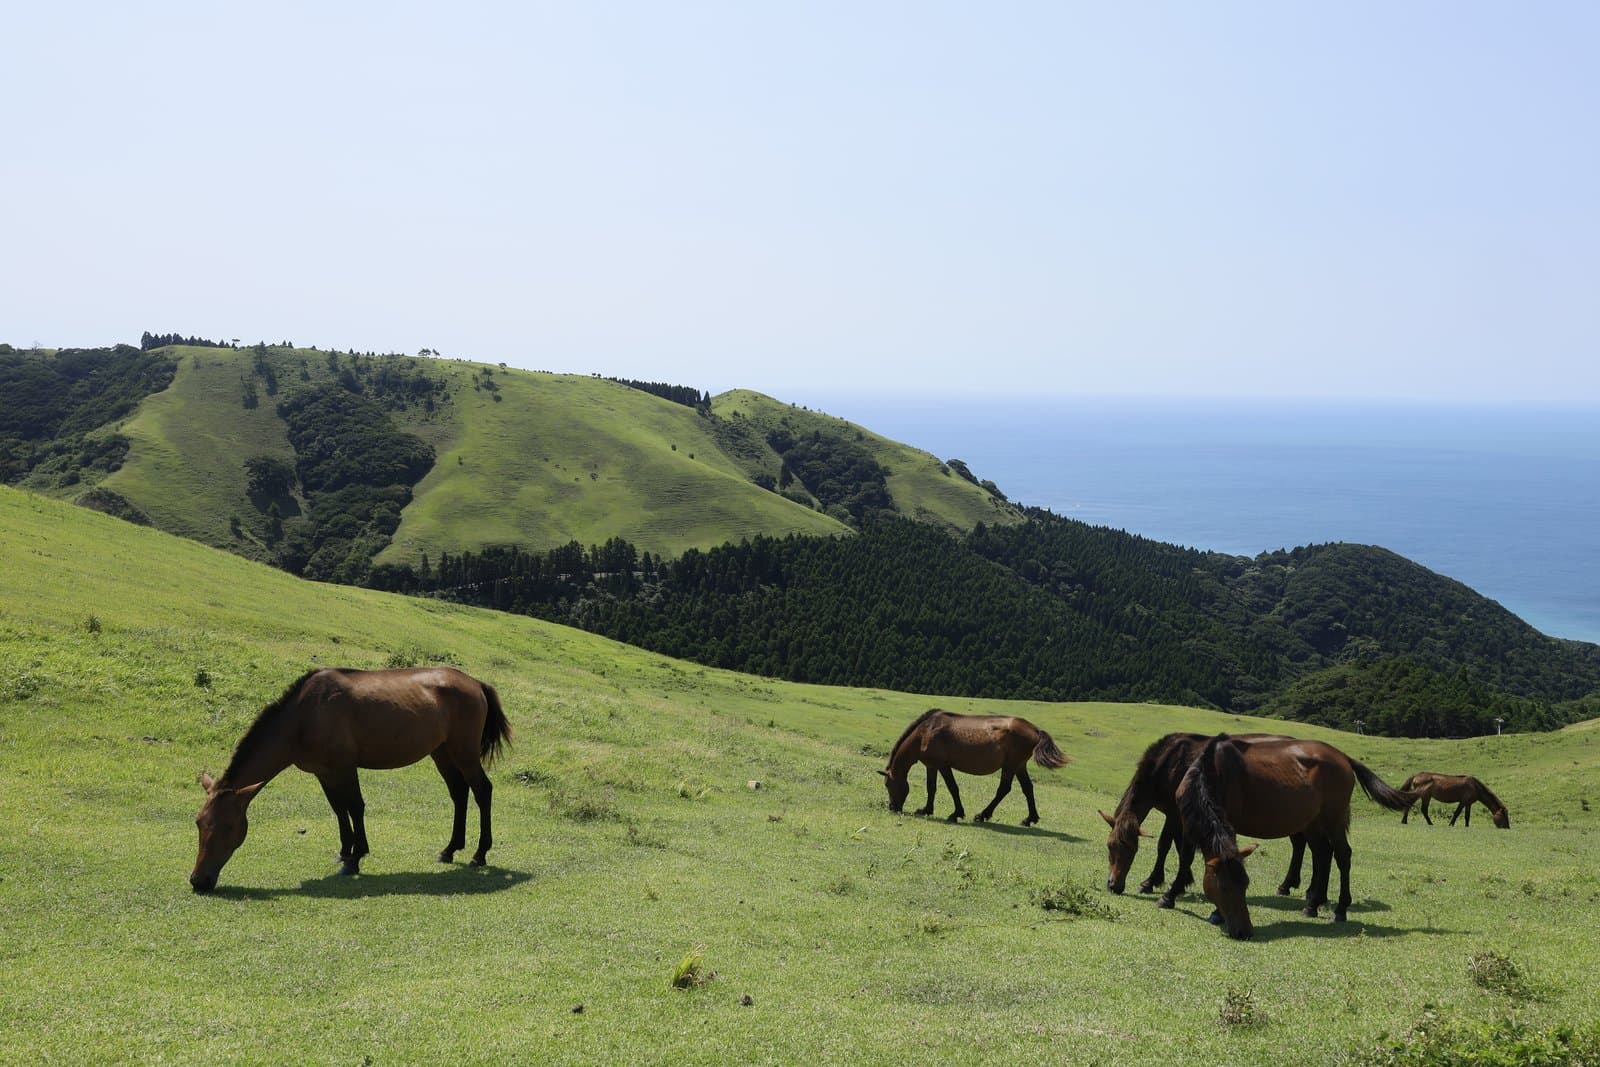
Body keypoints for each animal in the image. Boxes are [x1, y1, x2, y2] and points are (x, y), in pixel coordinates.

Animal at [190, 667, 511, 892]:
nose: (198, 881)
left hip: (464, 752)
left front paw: (356, 858)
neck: (306, 715)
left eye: (228, 826)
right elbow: (339, 810)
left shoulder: (345, 768)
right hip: (442, 752)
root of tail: (476, 683)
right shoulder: (324, 772)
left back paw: (480, 854)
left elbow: (355, 807)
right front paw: (344, 853)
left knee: (482, 791)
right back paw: (449, 850)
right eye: (198, 823)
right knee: (459, 793)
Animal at [880, 709, 1070, 825]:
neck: (925, 732)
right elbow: (931, 787)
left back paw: (982, 814)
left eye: (888, 785)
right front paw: (926, 809)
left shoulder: (943, 765)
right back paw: (1029, 819)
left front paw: (956, 814)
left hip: (1011, 766)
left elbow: (952, 787)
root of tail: (1035, 730)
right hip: (1019, 766)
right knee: (1028, 788)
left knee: (1004, 789)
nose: (892, 807)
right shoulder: (932, 766)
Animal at [1098, 732, 1307, 905]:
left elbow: (1164, 845)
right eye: (1110, 846)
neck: (1168, 764)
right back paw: (1288, 885)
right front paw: (1183, 880)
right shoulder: (1179, 815)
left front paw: (1152, 882)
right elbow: (1177, 844)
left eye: (1132, 850)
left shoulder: (1174, 814)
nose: (1114, 885)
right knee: (1299, 844)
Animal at [1172, 733, 1416, 939]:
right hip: (1313, 822)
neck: (1211, 772)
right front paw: (1173, 895)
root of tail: (1343, 757)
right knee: (1323, 854)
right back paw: (1313, 905)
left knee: (1342, 855)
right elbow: (1185, 858)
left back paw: (1340, 909)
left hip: (1333, 819)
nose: (1244, 932)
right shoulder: (1188, 825)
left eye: (1245, 885)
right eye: (1224, 888)